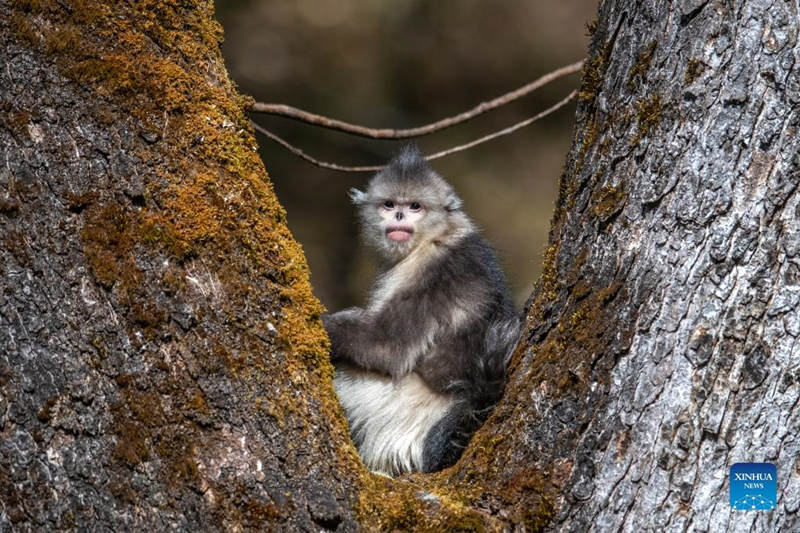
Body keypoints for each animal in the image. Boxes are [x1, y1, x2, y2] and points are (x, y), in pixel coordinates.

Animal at [322, 144, 520, 474]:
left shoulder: (431, 273)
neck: (436, 236)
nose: (400, 215)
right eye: (389, 204)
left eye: (415, 206)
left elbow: (387, 348)